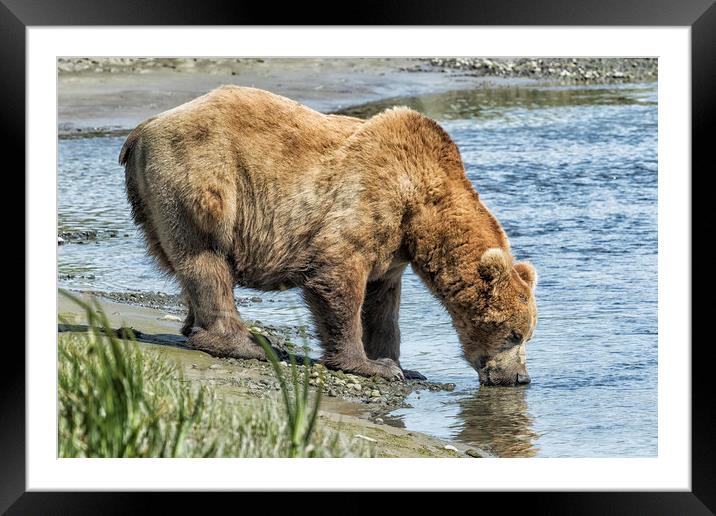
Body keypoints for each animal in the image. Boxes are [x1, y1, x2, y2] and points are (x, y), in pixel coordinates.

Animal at [120, 85, 536, 382]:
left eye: (528, 334)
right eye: (514, 334)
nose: (520, 378)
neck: (420, 206)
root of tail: (143, 128)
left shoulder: (393, 247)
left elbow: (383, 303)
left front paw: (400, 364)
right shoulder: (365, 200)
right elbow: (339, 279)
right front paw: (371, 366)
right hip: (204, 176)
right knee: (206, 257)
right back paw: (244, 342)